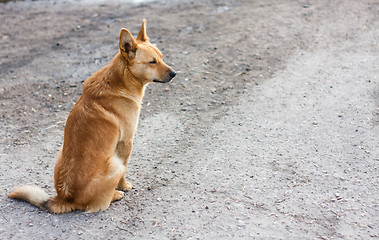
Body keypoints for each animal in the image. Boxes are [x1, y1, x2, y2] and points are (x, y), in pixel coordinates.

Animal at [7, 19, 177, 214]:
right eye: (152, 62)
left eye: (162, 57)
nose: (174, 74)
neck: (121, 81)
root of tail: (65, 198)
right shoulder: (126, 142)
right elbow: (125, 170)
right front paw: (124, 186)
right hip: (114, 163)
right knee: (102, 201)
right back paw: (115, 194)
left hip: (60, 153)